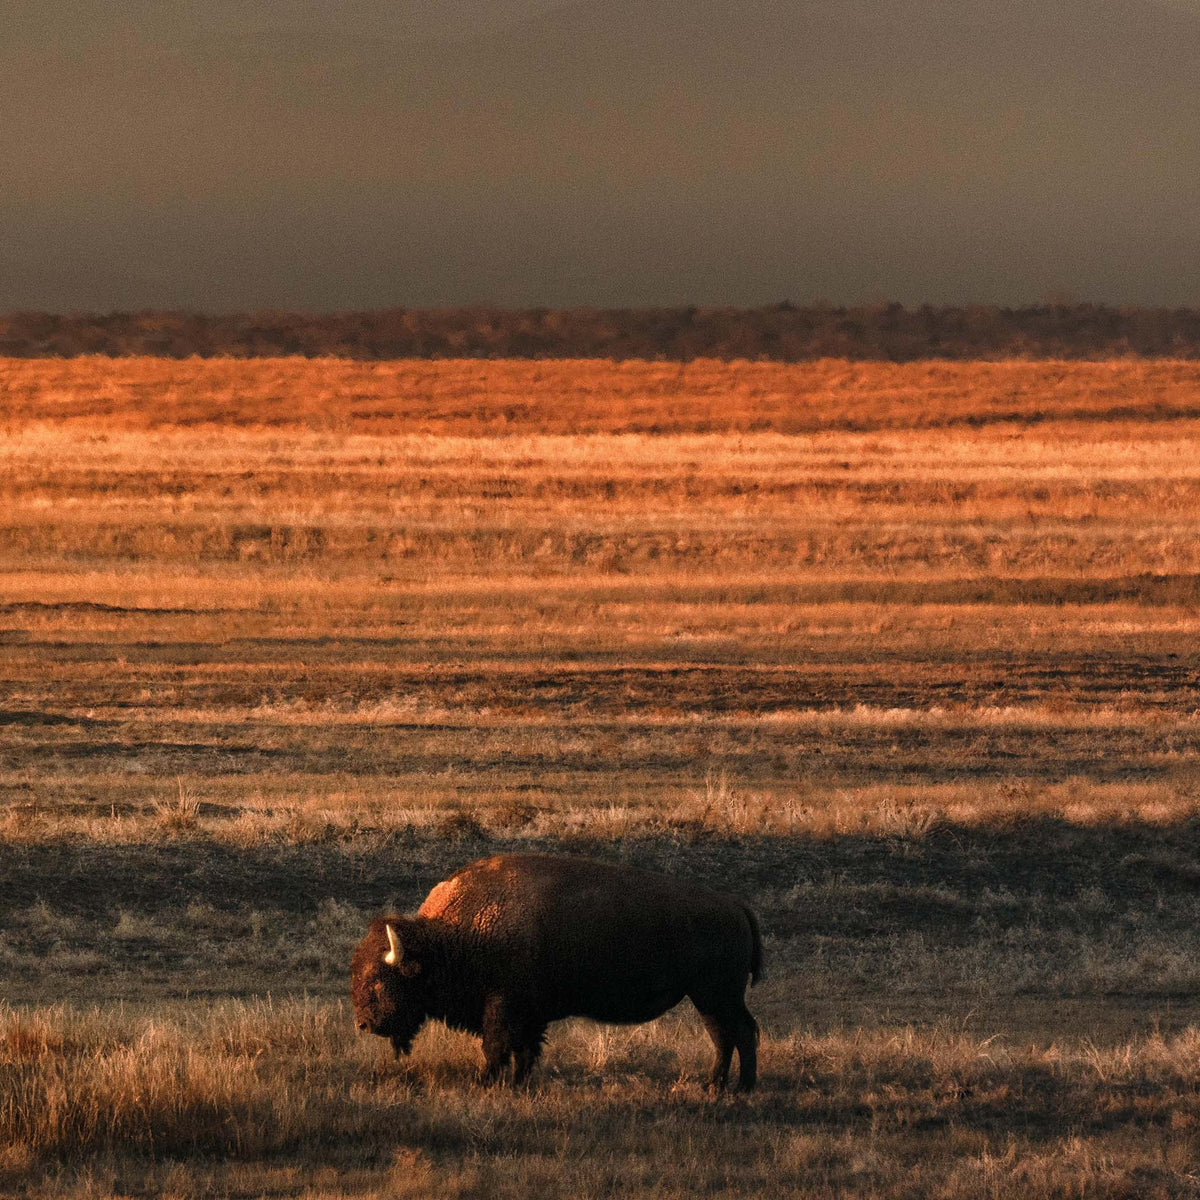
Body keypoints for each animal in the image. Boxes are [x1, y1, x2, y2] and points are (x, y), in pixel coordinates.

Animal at [351, 853, 762, 1090]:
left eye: (379, 981)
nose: (364, 1024)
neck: (453, 936)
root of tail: (736, 906)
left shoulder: (503, 1007)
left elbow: (496, 1046)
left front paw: (483, 1083)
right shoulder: (528, 1015)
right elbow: (524, 1050)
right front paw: (518, 1084)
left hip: (714, 996)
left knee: (733, 1034)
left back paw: (729, 1087)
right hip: (712, 998)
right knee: (733, 1034)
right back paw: (728, 1086)